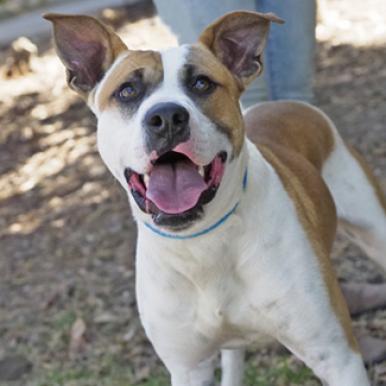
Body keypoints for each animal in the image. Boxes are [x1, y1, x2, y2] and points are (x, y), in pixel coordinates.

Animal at [43, 9, 384, 386]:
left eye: (202, 84)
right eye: (128, 91)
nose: (166, 117)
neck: (201, 243)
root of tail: (289, 103)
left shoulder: (337, 358)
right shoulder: (188, 368)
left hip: (374, 230)